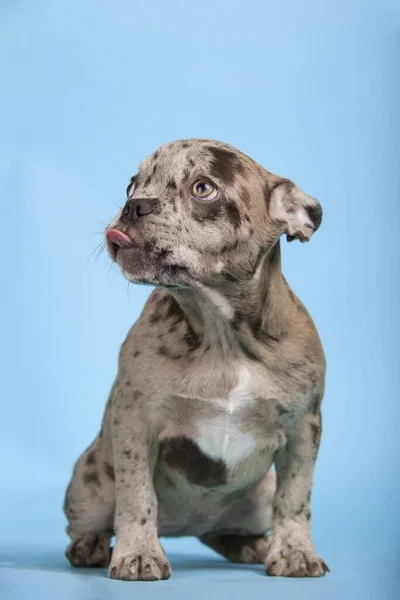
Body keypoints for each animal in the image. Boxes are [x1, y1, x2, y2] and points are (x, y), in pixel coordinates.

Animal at [63, 138, 328, 580]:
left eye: (203, 188)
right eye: (131, 185)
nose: (135, 205)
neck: (221, 330)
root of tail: (186, 526)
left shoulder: (303, 430)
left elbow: (295, 497)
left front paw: (293, 550)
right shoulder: (136, 423)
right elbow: (137, 495)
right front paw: (138, 553)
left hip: (258, 497)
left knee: (228, 531)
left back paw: (253, 545)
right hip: (89, 485)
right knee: (89, 524)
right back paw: (91, 547)